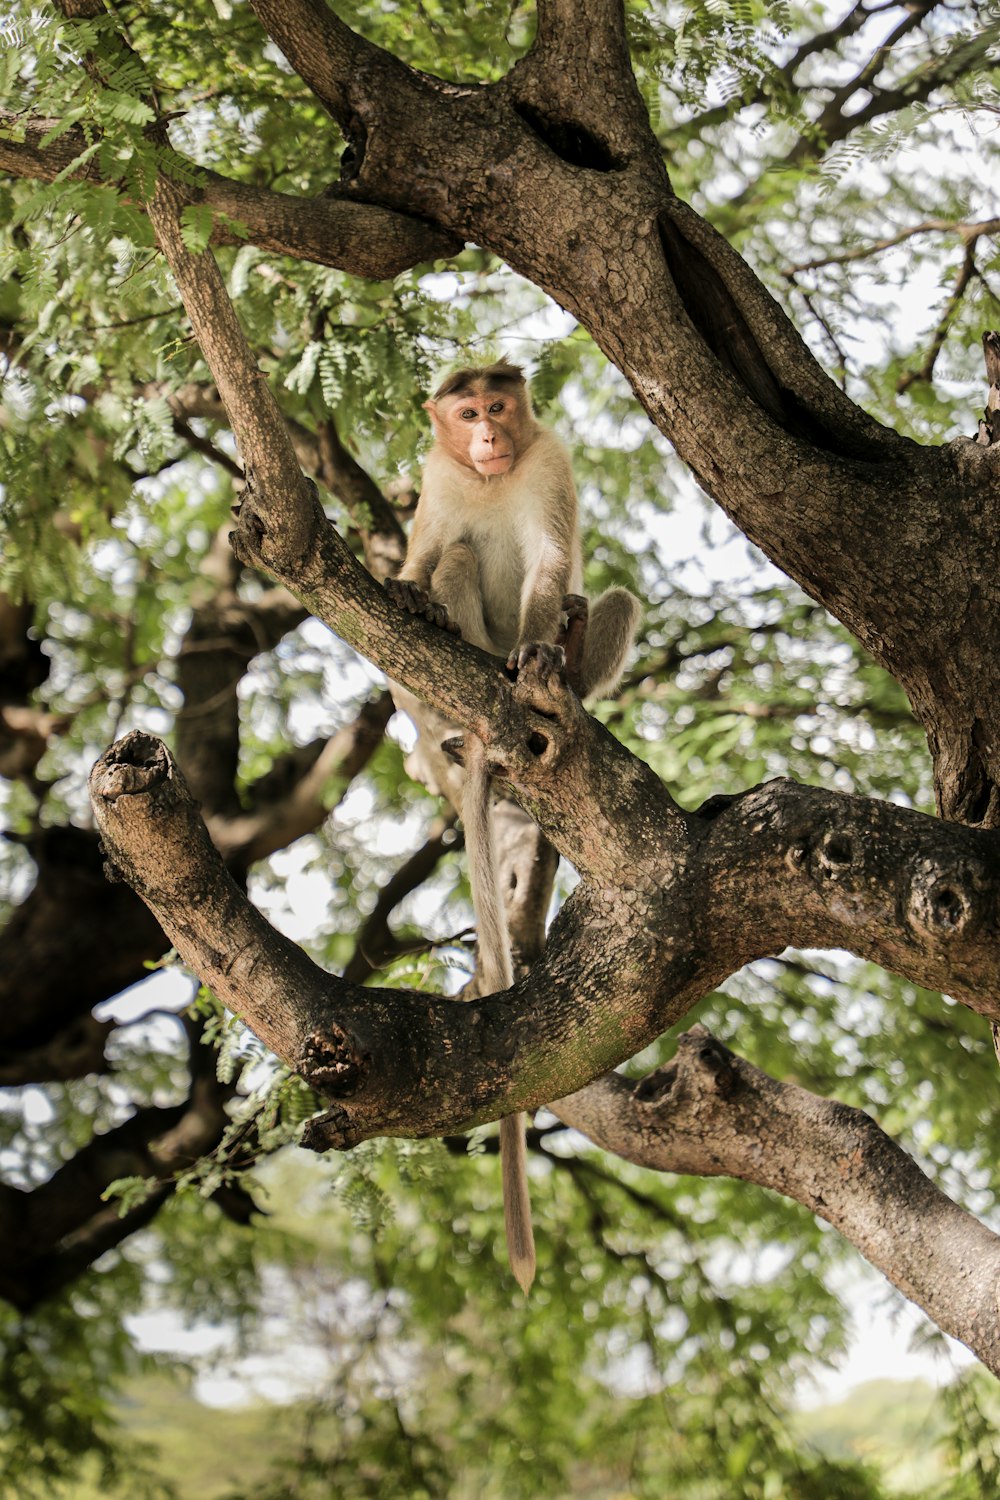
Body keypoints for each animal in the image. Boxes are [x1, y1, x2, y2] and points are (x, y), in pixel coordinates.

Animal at [383, 360, 641, 1290]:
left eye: (498, 406)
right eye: (465, 414)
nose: (490, 433)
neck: (490, 476)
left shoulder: (549, 461)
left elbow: (552, 557)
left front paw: (545, 644)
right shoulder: (437, 476)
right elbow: (427, 552)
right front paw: (413, 592)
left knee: (601, 596)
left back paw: (562, 646)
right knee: (457, 558)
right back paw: (454, 682)